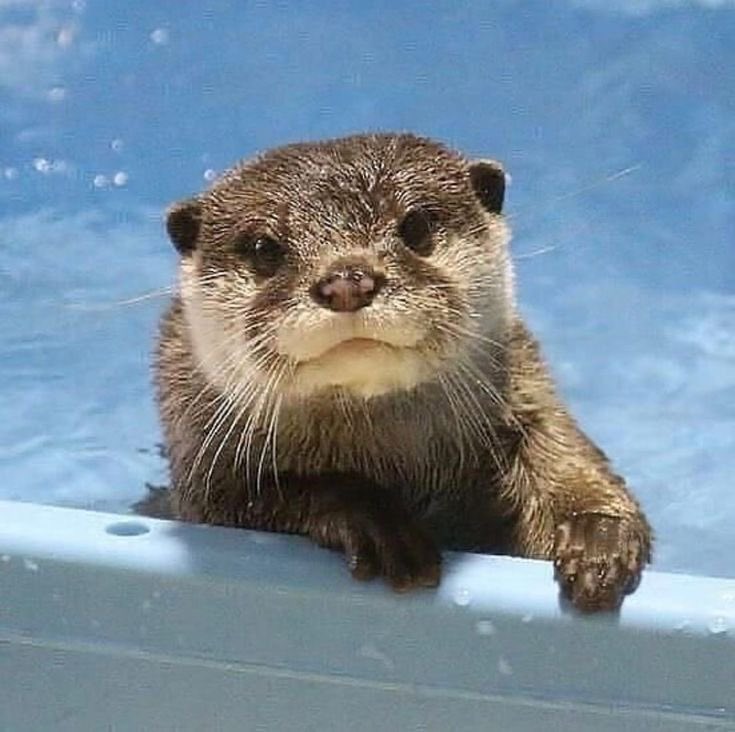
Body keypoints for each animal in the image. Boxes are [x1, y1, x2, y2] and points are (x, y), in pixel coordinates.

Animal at [155, 133, 652, 613]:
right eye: (263, 248)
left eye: (416, 226)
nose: (347, 280)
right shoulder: (203, 480)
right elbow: (249, 502)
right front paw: (376, 522)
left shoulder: (528, 396)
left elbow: (563, 455)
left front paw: (597, 535)